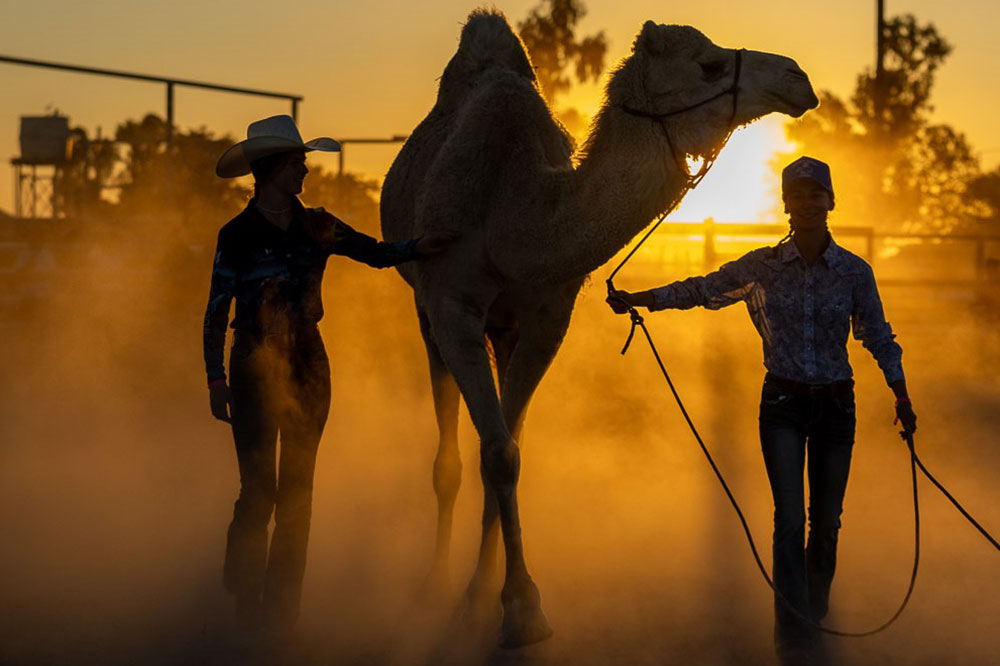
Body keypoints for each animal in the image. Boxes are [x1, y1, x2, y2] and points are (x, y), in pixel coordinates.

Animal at [380, 8, 818, 649]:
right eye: (709, 65)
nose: (798, 78)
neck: (513, 211)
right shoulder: (451, 305)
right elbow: (491, 455)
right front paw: (511, 608)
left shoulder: (546, 319)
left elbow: (508, 452)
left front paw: (500, 599)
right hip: (423, 310)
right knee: (449, 456)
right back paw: (434, 581)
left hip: (503, 329)